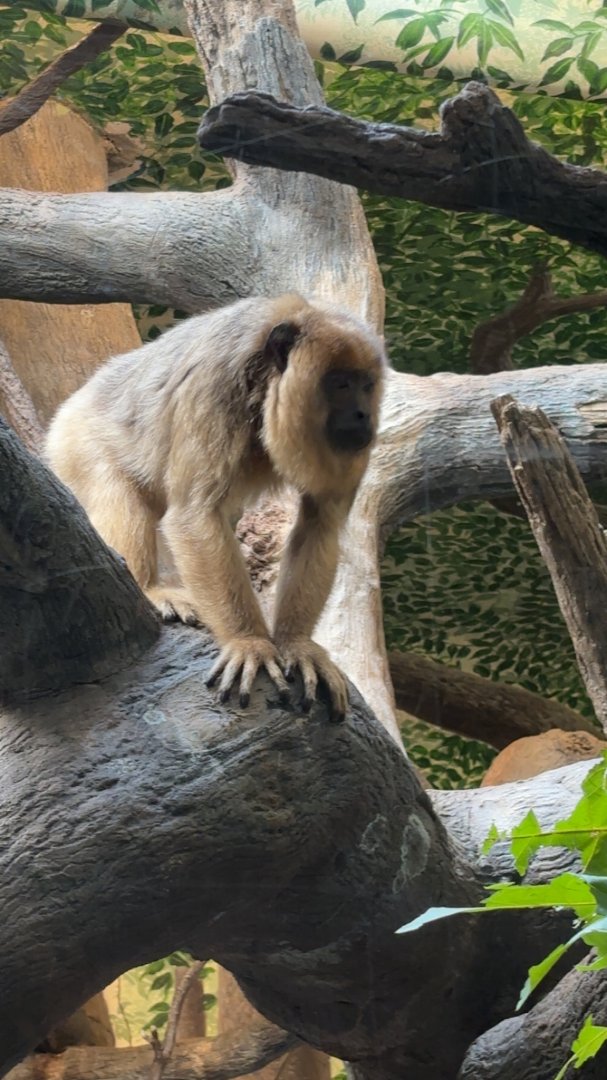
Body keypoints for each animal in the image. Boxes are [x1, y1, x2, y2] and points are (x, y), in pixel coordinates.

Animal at [45, 293, 386, 721]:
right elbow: (195, 515)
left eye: (366, 385)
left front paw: (297, 643)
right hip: (74, 441)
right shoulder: (214, 386)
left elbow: (319, 523)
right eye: (339, 383)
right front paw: (249, 642)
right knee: (120, 494)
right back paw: (151, 589)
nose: (363, 414)